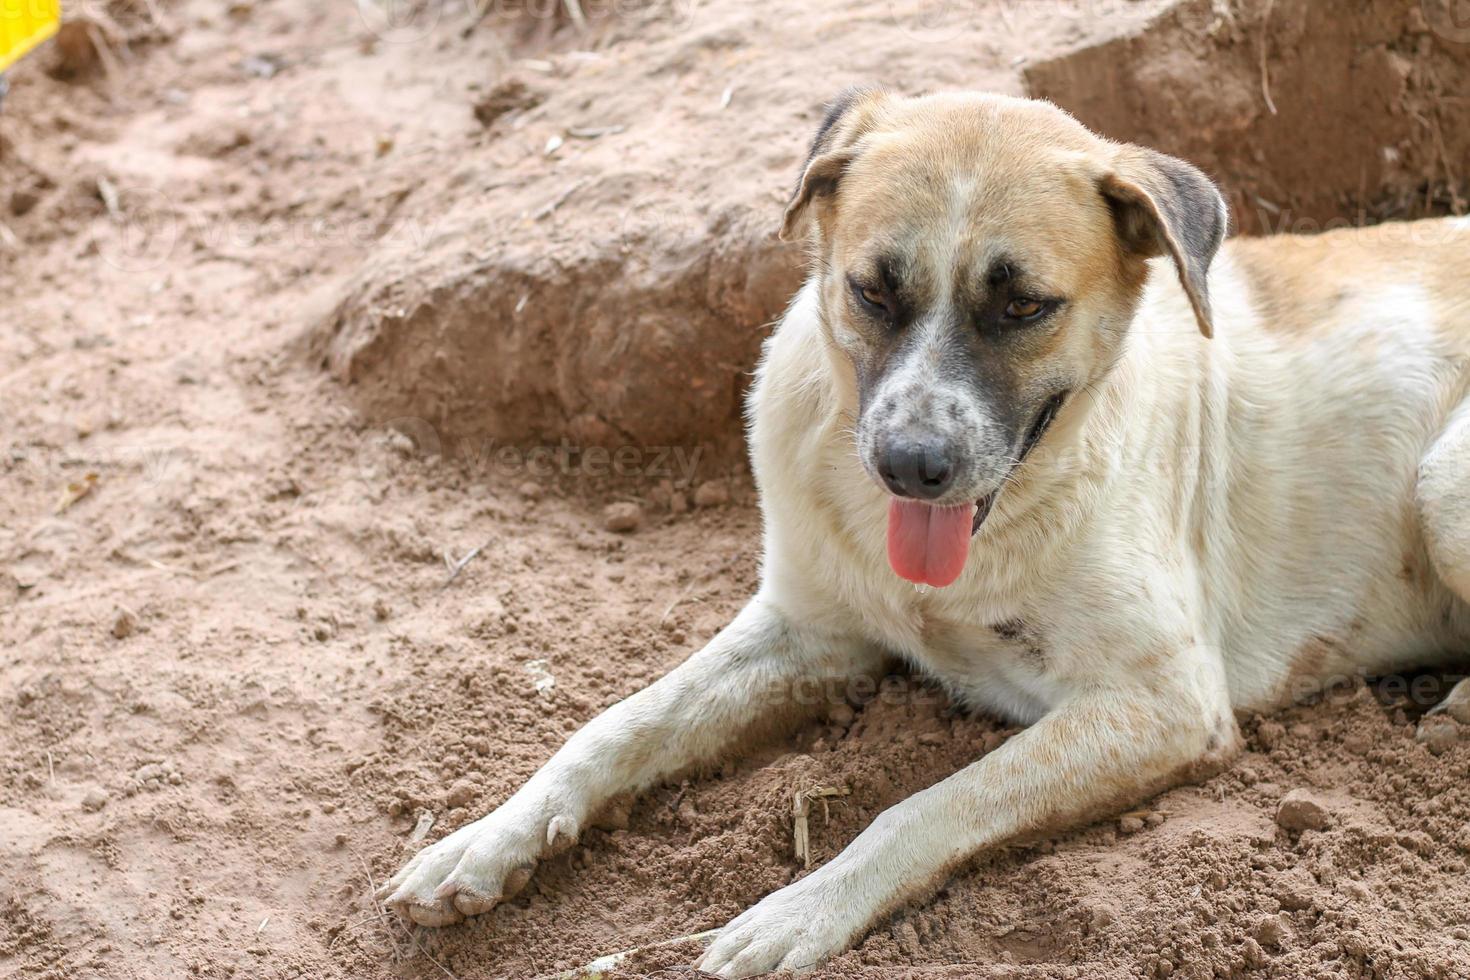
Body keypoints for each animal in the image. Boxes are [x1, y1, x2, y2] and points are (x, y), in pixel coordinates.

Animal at [376, 89, 1470, 975]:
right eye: (872, 289)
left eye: (1024, 304)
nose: (910, 463)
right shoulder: (807, 629)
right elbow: (617, 723)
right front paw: (487, 837)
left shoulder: (1163, 702)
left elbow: (930, 802)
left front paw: (798, 910)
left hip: (1442, 483)